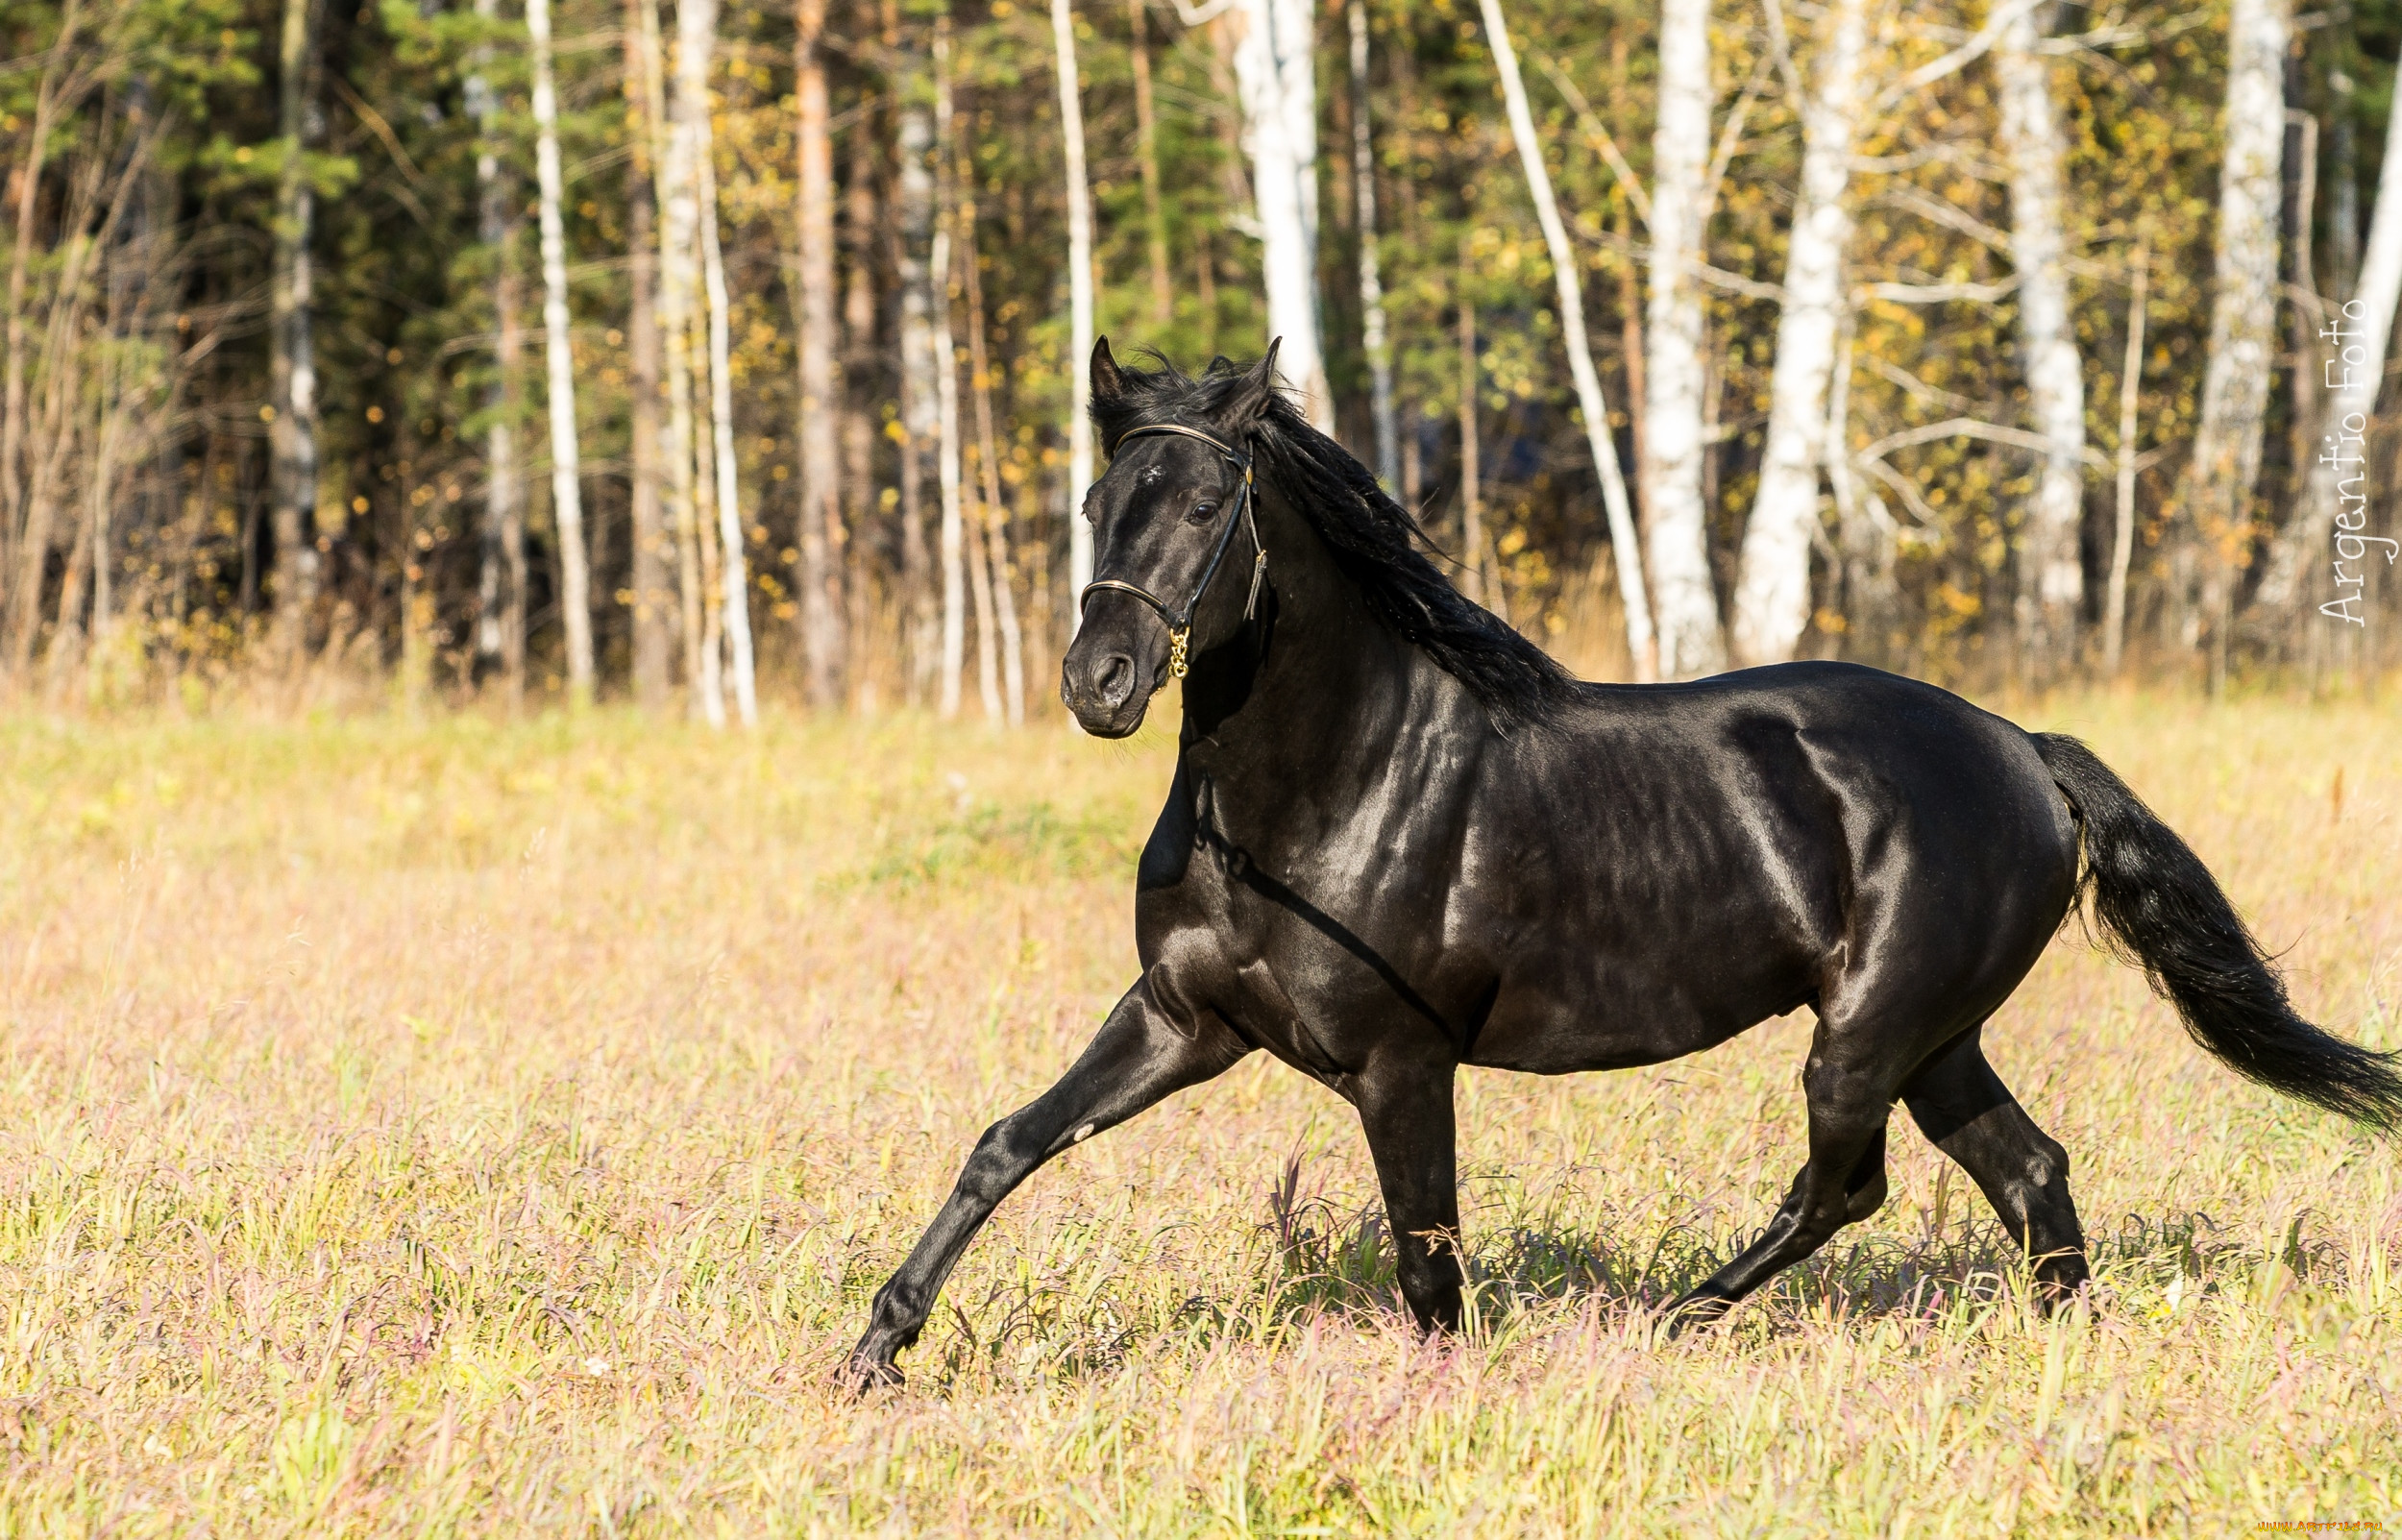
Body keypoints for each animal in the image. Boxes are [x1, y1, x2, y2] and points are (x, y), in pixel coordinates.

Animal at [841, 346, 2383, 1383]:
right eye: (1100, 495)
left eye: (1214, 499)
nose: (1098, 682)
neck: (1321, 789)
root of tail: (2020, 747)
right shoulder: (1183, 1018)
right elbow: (1007, 1144)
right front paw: (874, 1348)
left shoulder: (1402, 1060)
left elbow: (1429, 1259)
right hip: (1934, 1037)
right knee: (2028, 1171)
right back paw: (2052, 1345)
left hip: (1867, 1030)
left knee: (1847, 1185)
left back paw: (1678, 1316)